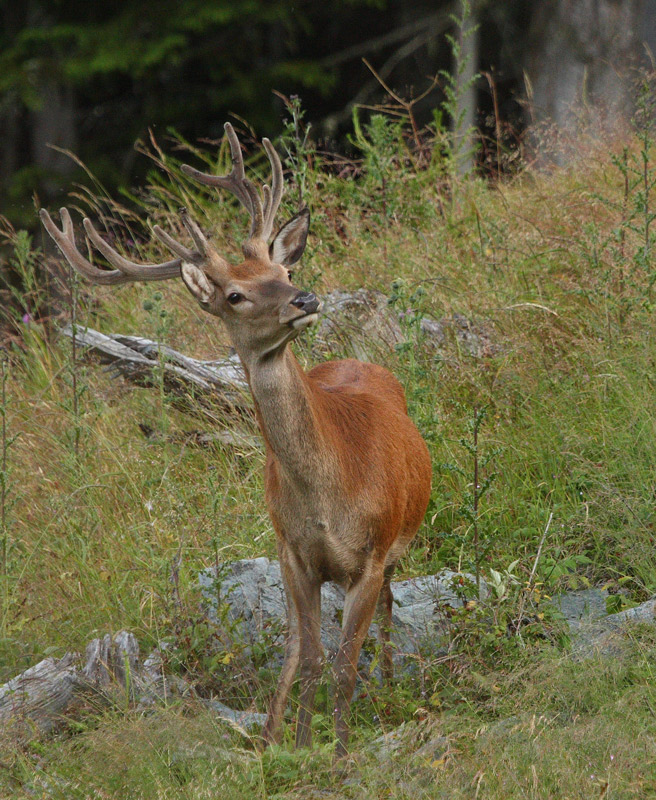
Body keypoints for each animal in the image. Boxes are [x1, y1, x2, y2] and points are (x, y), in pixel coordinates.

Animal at [40, 123, 432, 759]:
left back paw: (392, 689)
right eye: (235, 296)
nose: (306, 299)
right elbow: (313, 659)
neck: (332, 491)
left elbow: (345, 664)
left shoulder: (373, 550)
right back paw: (271, 733)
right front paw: (298, 747)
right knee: (298, 646)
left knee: (391, 613)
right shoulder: (295, 553)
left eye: (285, 274)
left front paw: (341, 750)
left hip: (397, 539)